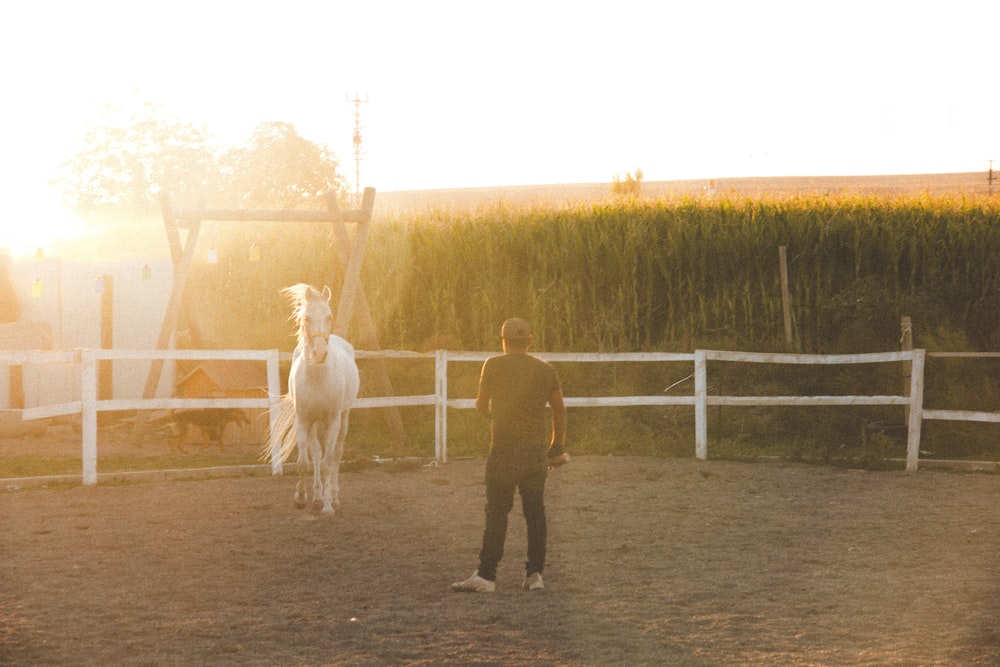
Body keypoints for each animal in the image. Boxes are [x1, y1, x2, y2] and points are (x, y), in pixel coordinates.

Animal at [270, 284, 360, 516]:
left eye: (329, 316)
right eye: (306, 318)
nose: (320, 353)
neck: (317, 376)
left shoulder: (333, 420)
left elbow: (329, 462)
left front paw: (328, 506)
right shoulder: (304, 420)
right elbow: (304, 462)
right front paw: (301, 499)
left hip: (342, 419)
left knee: (335, 455)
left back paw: (333, 497)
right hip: (314, 423)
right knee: (318, 454)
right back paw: (318, 495)